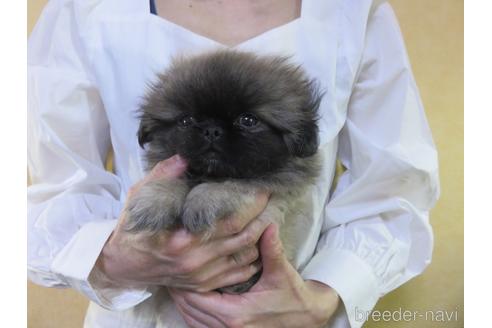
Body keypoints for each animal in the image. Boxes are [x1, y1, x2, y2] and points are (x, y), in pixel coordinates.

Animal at [129, 50, 324, 292]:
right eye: (186, 120)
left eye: (248, 120)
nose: (212, 130)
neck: (211, 173)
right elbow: (174, 179)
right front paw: (153, 203)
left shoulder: (269, 184)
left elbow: (232, 184)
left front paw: (202, 200)